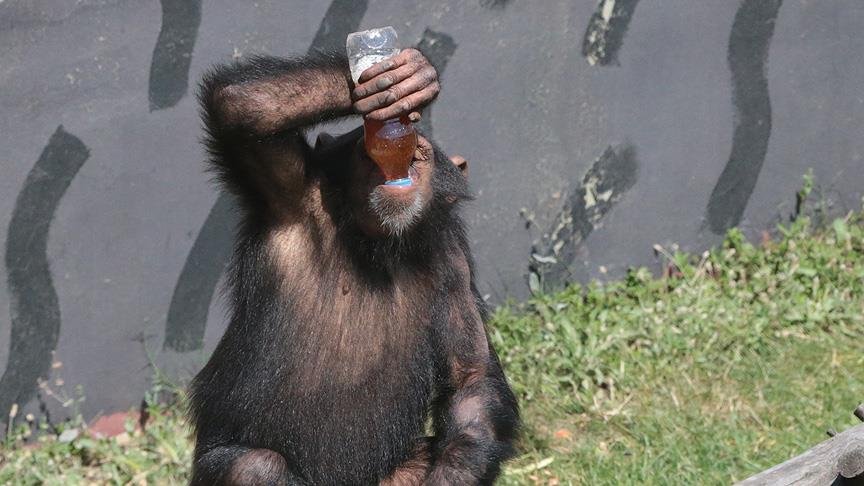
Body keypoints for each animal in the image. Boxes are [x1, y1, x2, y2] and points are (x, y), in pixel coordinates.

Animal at [189, 46, 520, 486]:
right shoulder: (290, 194)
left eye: (419, 156)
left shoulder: (453, 263)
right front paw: (394, 78)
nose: (393, 166)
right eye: (367, 153)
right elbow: (242, 108)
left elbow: (471, 378)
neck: (379, 243)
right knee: (254, 466)